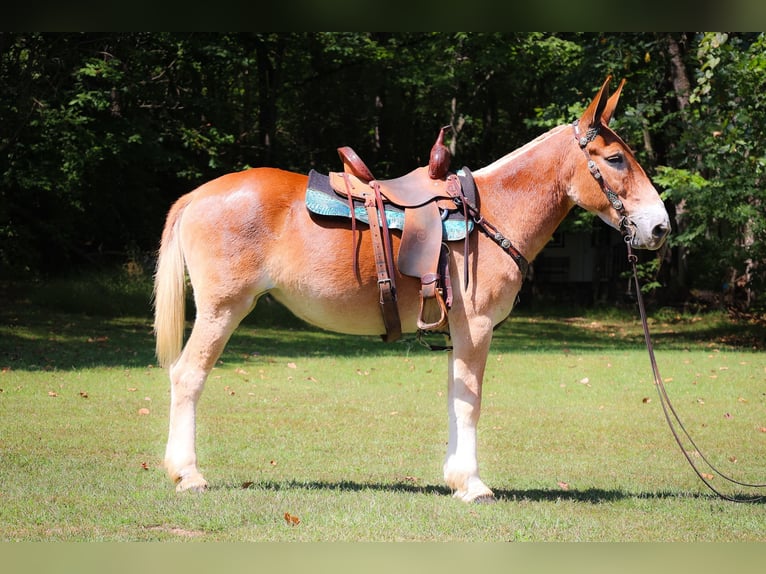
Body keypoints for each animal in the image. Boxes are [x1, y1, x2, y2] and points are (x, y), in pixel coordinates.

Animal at [156, 77, 672, 504]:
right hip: (223, 310)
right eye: (616, 159)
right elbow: (470, 402)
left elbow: (455, 397)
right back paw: (188, 474)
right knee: (187, 376)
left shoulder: (459, 330)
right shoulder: (476, 327)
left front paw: (456, 477)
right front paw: (473, 484)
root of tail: (197, 195)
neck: (492, 212)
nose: (660, 227)